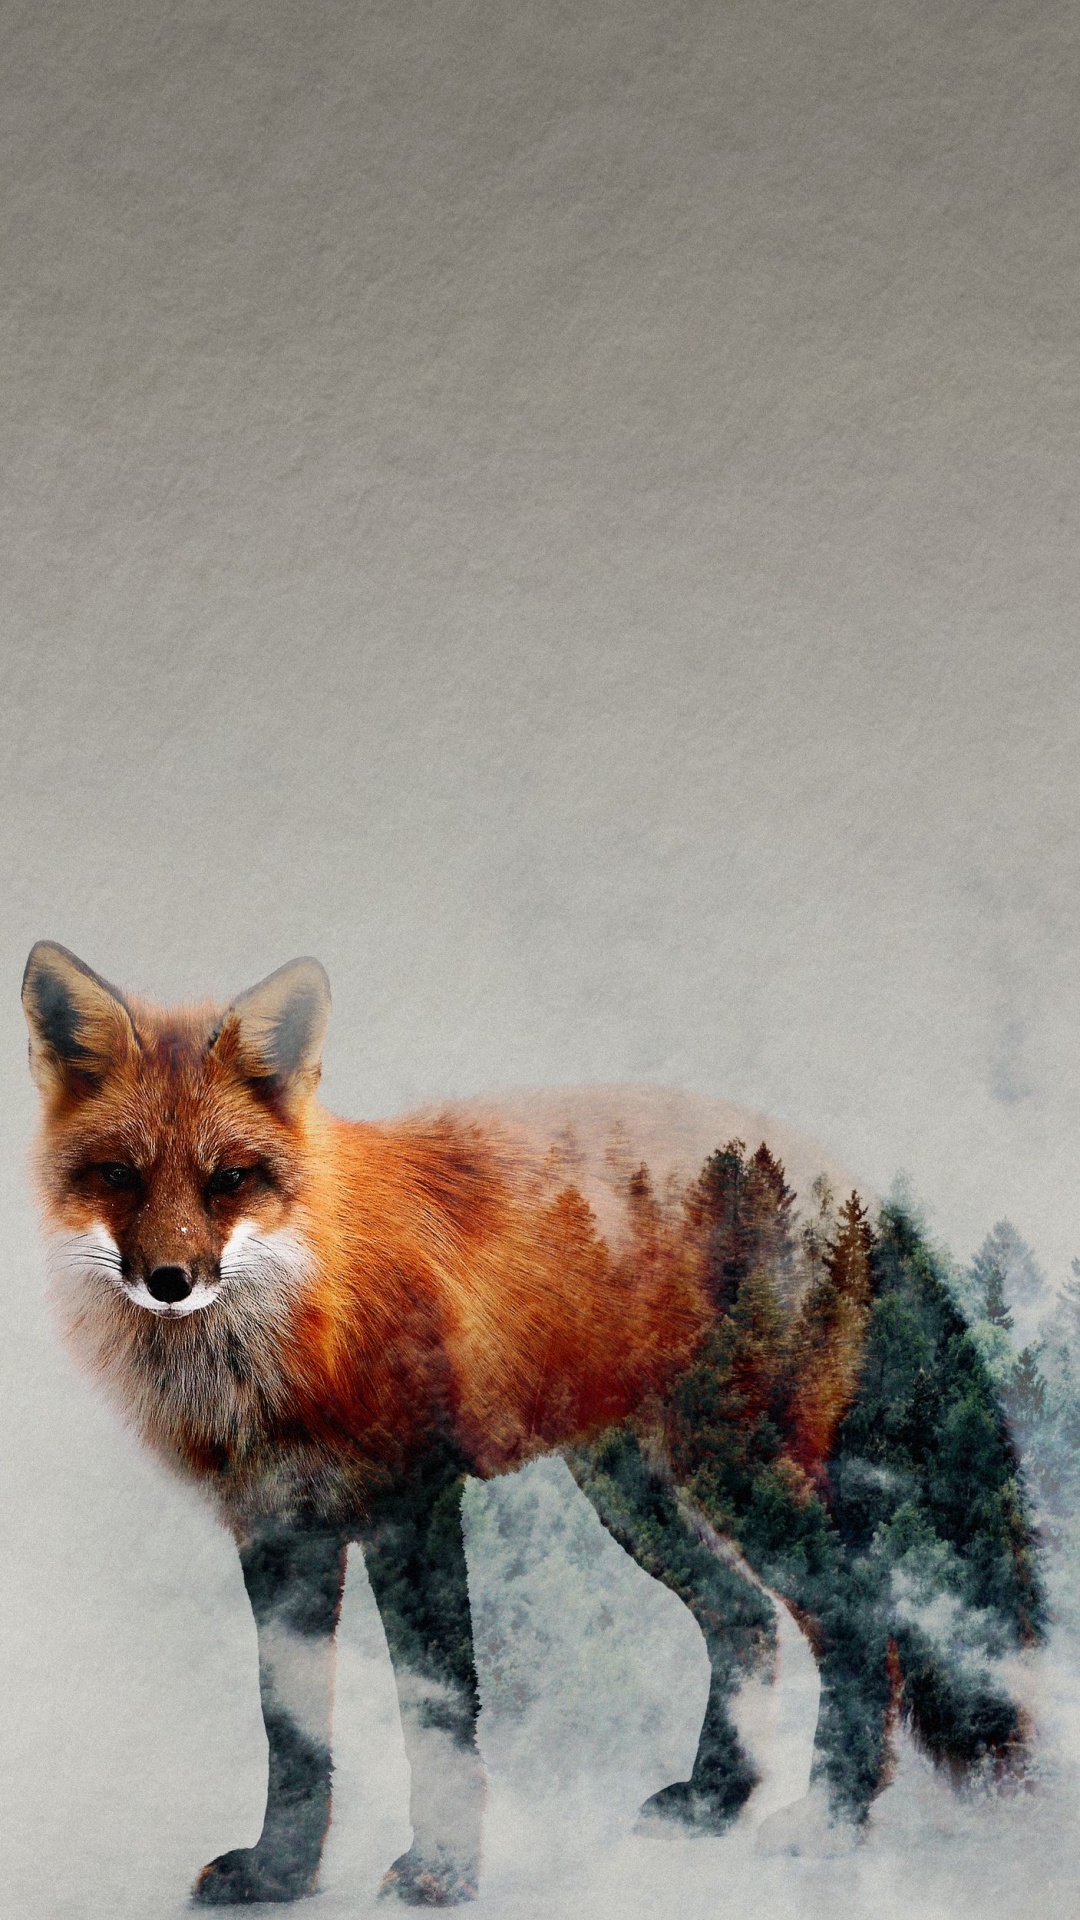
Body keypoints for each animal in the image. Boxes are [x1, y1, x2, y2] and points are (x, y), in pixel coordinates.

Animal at [21, 942, 1040, 1908]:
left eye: (229, 1179)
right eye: (119, 1176)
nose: (170, 1282)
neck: (284, 1341)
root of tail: (842, 1178)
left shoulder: (414, 1508)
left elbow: (436, 1717)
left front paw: (441, 1875)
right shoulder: (277, 1532)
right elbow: (294, 1734)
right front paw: (282, 1876)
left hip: (739, 1475)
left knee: (866, 1620)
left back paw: (833, 1817)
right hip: (636, 1494)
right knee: (745, 1620)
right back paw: (718, 1798)